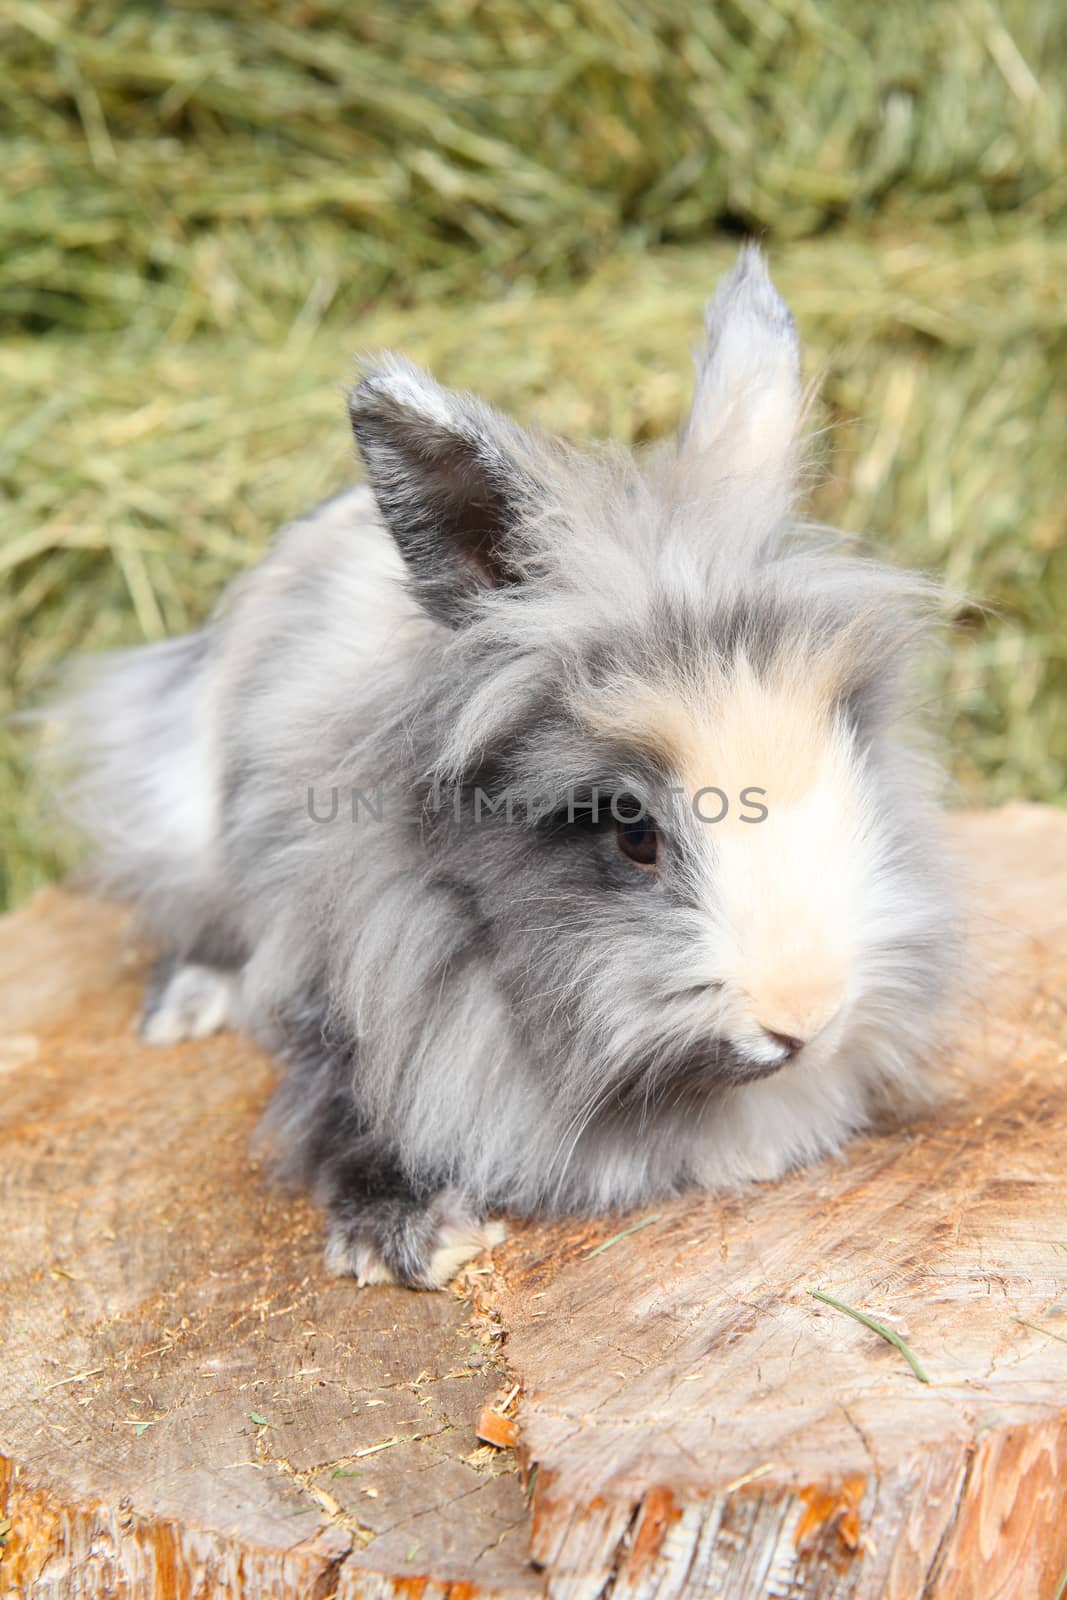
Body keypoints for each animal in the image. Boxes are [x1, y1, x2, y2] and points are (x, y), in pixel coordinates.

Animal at [47, 252, 959, 1299]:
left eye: (849, 757)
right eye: (630, 829)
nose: (806, 1015)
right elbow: (346, 1100)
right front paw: (410, 1237)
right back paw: (181, 1011)